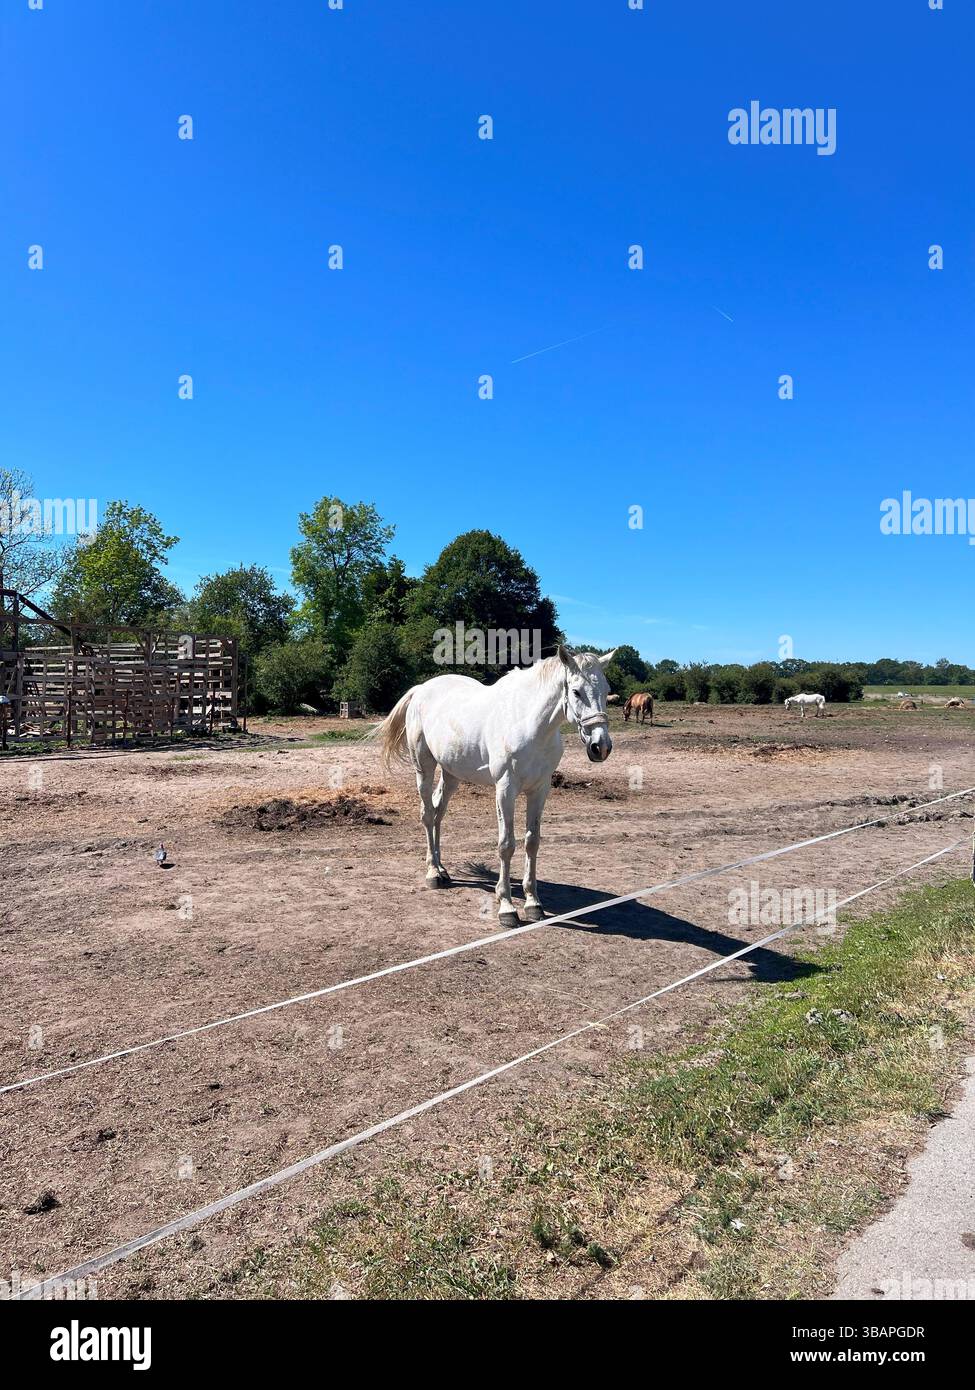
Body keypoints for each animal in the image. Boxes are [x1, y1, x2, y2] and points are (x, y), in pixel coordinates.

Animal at [374, 646, 615, 927]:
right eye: (576, 691)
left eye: (606, 690)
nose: (600, 747)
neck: (528, 723)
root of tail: (421, 689)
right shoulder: (505, 789)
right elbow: (506, 845)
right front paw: (507, 907)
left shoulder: (539, 790)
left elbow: (532, 842)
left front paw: (533, 903)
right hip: (424, 767)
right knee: (426, 814)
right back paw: (433, 873)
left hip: (451, 774)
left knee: (437, 813)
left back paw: (442, 868)